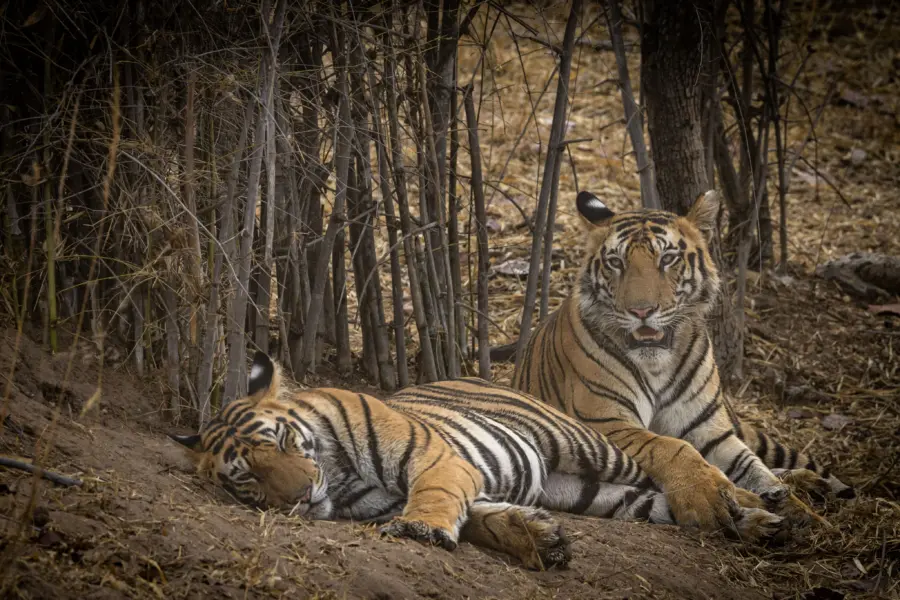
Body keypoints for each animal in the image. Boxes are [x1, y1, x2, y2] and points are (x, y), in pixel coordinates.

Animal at [170, 351, 786, 571]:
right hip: (598, 494)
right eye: (247, 478)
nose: (300, 496)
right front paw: (538, 538)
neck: (337, 481)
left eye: (280, 442)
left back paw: (742, 501)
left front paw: (421, 530)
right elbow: (484, 520)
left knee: (674, 451)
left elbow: (437, 497)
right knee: (658, 503)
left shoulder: (436, 458)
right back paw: (760, 525)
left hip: (587, 444)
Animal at [511, 189, 854, 537]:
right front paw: (708, 496)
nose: (641, 311)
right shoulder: (603, 420)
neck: (657, 365)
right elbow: (667, 446)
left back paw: (814, 484)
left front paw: (809, 520)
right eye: (616, 263)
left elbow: (752, 468)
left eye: (667, 259)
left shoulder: (709, 429)